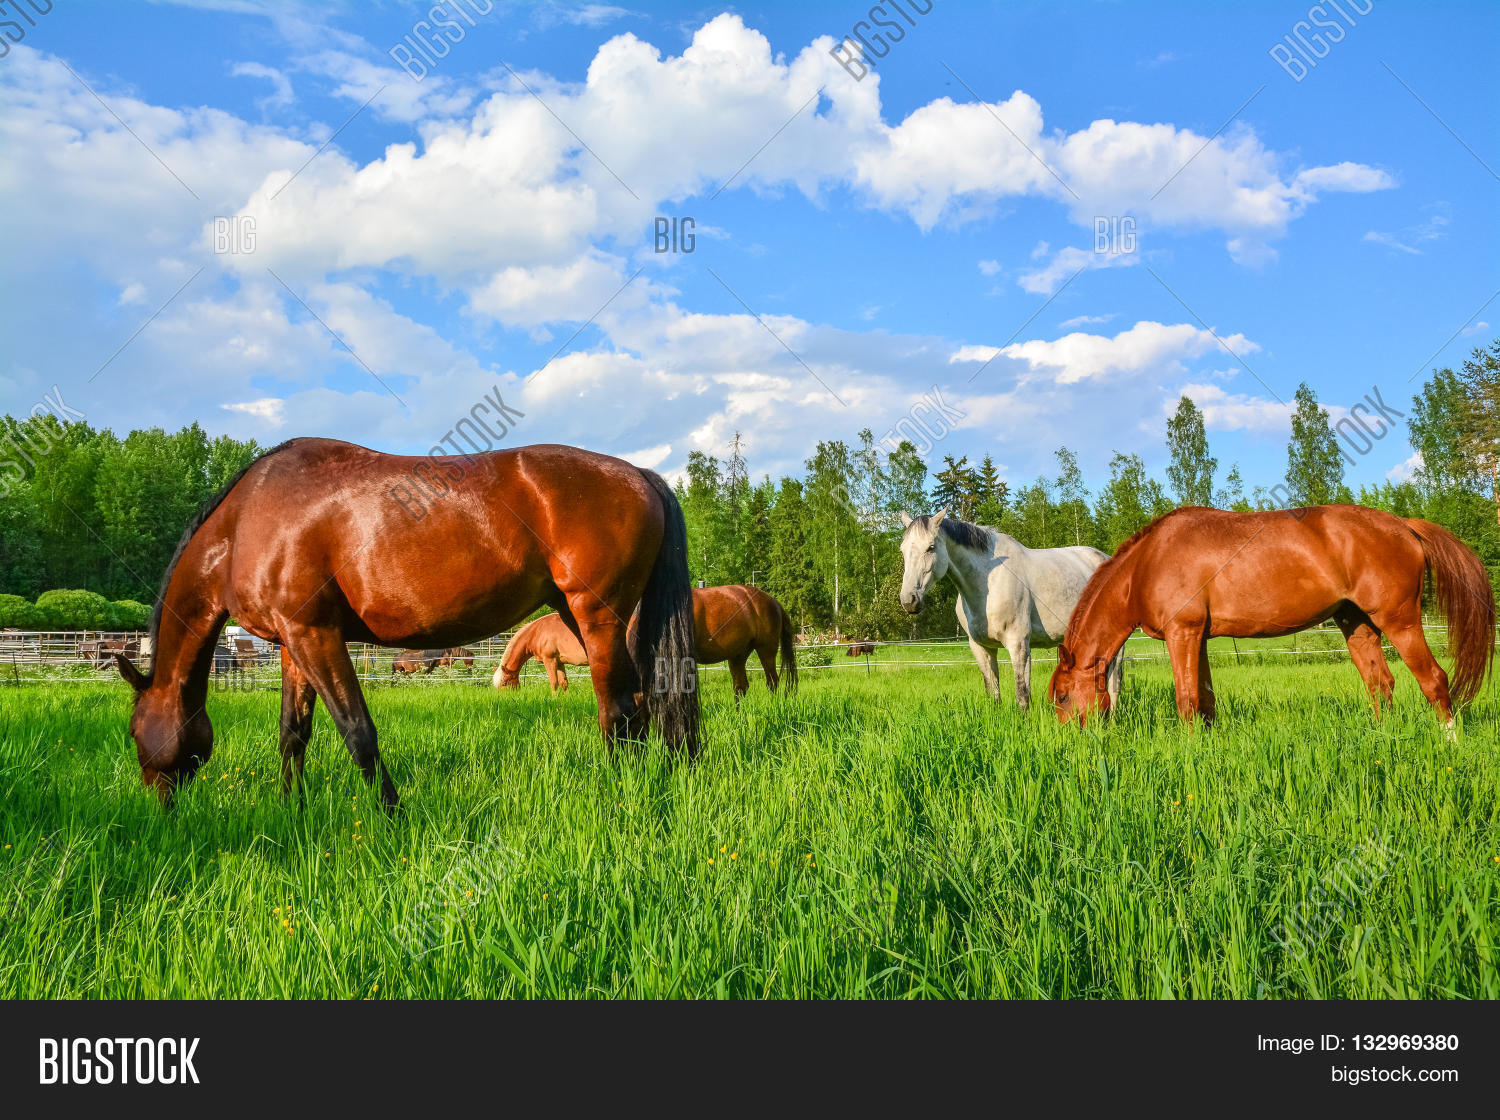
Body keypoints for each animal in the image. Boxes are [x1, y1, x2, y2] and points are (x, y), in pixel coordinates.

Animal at [113, 438, 700, 810]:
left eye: (134, 730)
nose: (159, 804)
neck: (245, 522)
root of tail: (640, 475)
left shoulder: (316, 636)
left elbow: (357, 731)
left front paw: (392, 813)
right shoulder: (292, 644)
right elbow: (293, 734)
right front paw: (289, 809)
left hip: (596, 616)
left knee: (619, 711)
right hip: (584, 616)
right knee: (644, 702)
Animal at [898, 509, 1123, 711]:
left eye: (931, 547)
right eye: (902, 550)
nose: (909, 600)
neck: (988, 583)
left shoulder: (1018, 645)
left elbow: (1022, 696)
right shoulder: (982, 648)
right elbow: (993, 694)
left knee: (1114, 683)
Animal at [1048, 506, 1495, 730]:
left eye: (1063, 697)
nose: (1072, 742)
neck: (1147, 563)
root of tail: (1403, 524)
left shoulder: (1182, 634)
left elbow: (1186, 701)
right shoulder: (1200, 638)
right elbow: (1206, 701)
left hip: (1398, 621)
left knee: (1433, 680)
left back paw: (1450, 741)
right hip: (1356, 624)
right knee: (1379, 684)